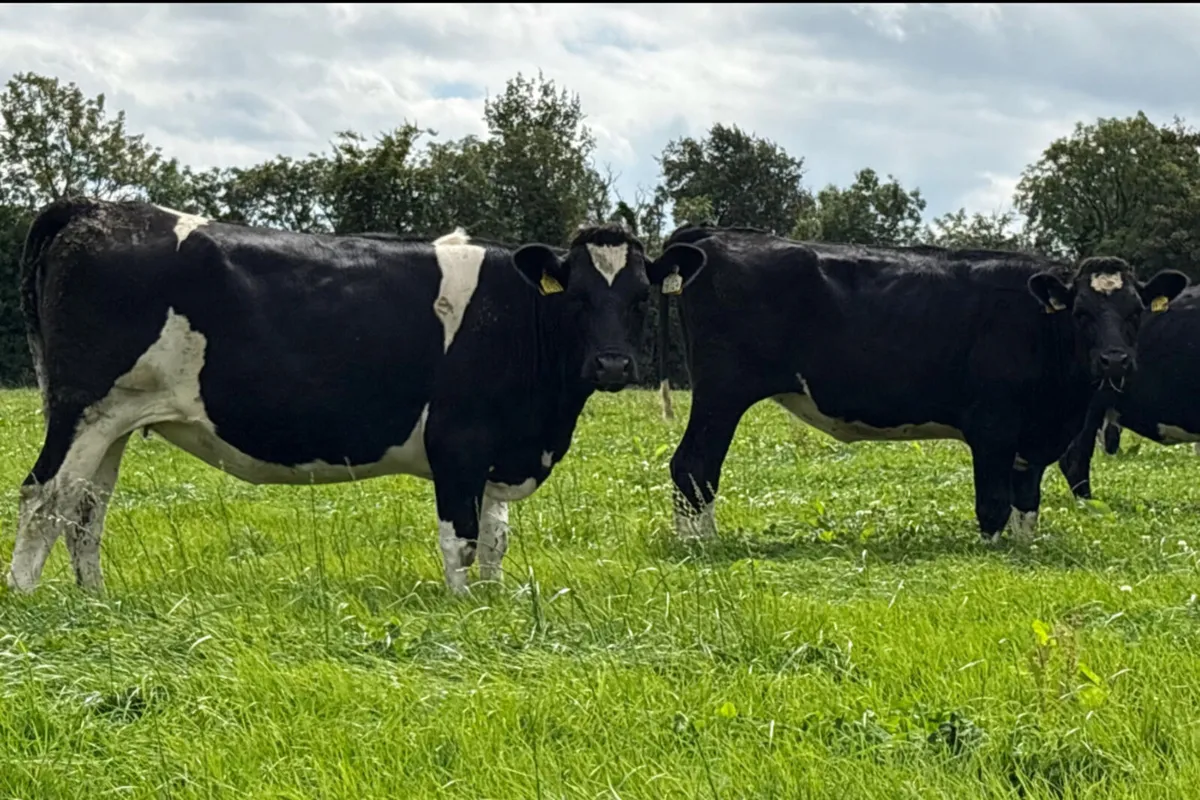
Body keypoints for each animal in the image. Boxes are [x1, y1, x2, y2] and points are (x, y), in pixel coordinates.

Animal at [7, 198, 706, 595]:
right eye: (579, 298)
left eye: (640, 298)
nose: (612, 363)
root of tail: (95, 207)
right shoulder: (458, 443)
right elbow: (462, 540)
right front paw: (465, 610)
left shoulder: (494, 451)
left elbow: (495, 540)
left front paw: (494, 603)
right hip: (83, 408)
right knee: (44, 497)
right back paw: (26, 599)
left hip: (115, 420)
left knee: (85, 507)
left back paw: (96, 600)